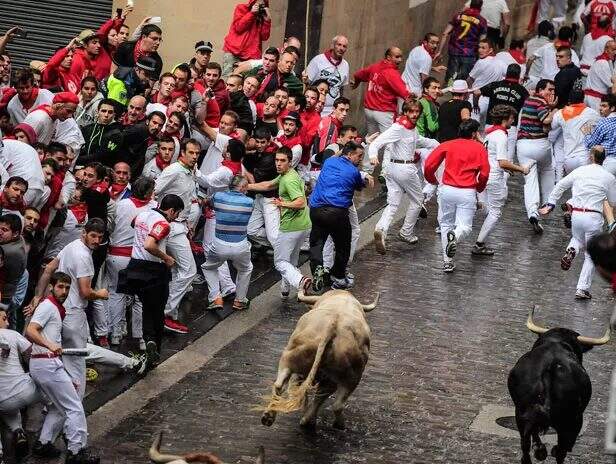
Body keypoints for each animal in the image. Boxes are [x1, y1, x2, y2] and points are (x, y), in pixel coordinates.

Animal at [258, 288, 378, 430]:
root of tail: (332, 327)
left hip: (290, 358)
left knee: (280, 384)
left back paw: (269, 417)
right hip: (350, 377)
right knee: (335, 404)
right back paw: (333, 424)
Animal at [506, 306, 612, 462]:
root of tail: (549, 367)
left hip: (521, 413)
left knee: (525, 444)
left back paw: (539, 451)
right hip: (572, 420)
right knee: (561, 450)